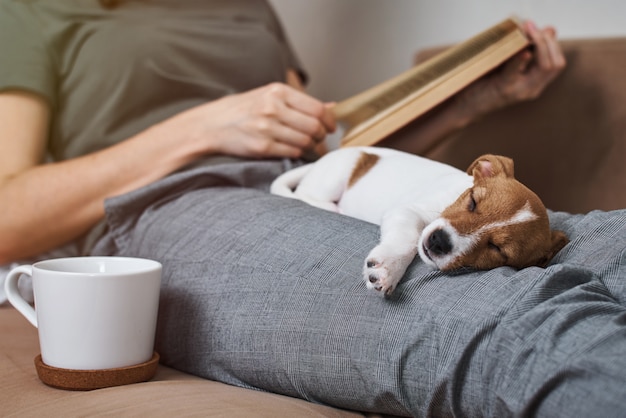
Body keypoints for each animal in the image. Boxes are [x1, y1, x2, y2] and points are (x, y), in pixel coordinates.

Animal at [270, 146, 568, 294]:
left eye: (497, 249)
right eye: (473, 201)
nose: (439, 241)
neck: (449, 198)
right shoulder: (406, 211)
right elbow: (409, 238)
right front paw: (389, 267)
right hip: (336, 175)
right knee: (304, 194)